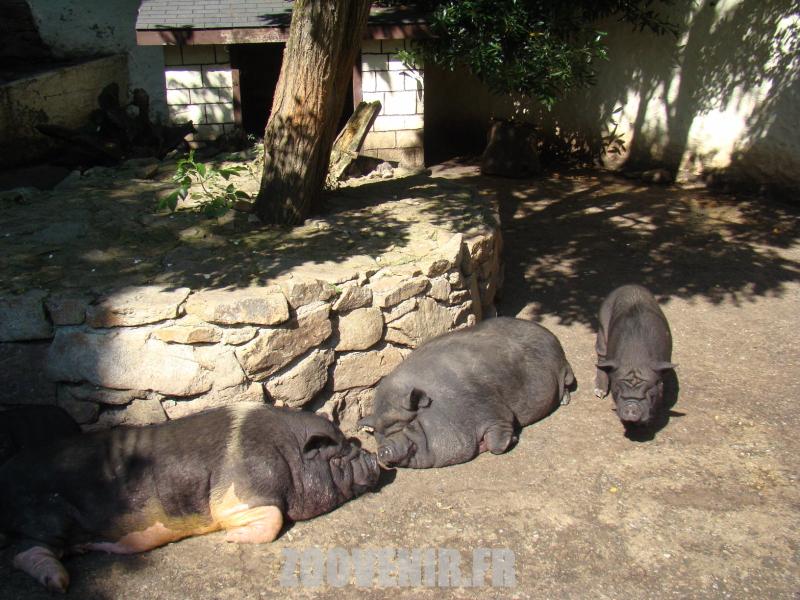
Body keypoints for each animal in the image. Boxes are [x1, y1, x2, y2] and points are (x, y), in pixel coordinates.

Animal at [0, 404, 380, 593]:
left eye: (352, 444)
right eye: (339, 455)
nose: (376, 459)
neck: (286, 453)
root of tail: (6, 474)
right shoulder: (239, 494)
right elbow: (272, 517)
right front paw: (229, 537)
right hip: (45, 514)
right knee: (24, 552)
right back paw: (58, 582)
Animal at [358, 317, 575, 468]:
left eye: (409, 423)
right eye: (378, 433)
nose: (383, 450)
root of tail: (547, 333)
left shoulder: (494, 411)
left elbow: (497, 442)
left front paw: (511, 439)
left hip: (565, 371)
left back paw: (564, 400)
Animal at [594, 284, 676, 426]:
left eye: (648, 390)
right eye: (618, 388)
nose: (631, 406)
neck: (636, 359)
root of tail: (629, 285)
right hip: (602, 326)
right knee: (601, 358)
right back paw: (599, 393)